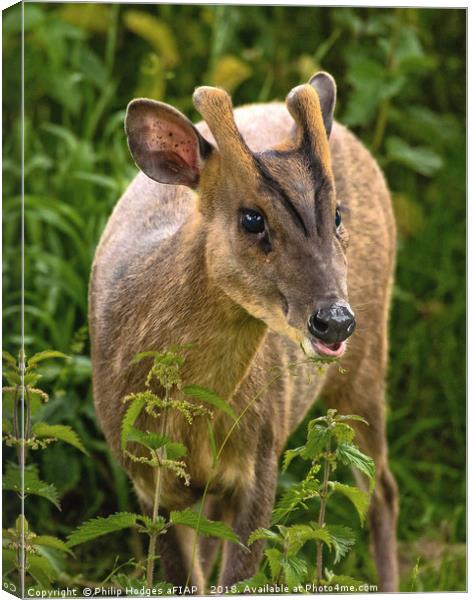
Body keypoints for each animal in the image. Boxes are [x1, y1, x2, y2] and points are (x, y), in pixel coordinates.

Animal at [89, 74, 398, 592]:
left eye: (337, 215)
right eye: (252, 218)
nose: (334, 319)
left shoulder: (264, 456)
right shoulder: (147, 476)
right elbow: (186, 575)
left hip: (367, 359)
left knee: (382, 490)